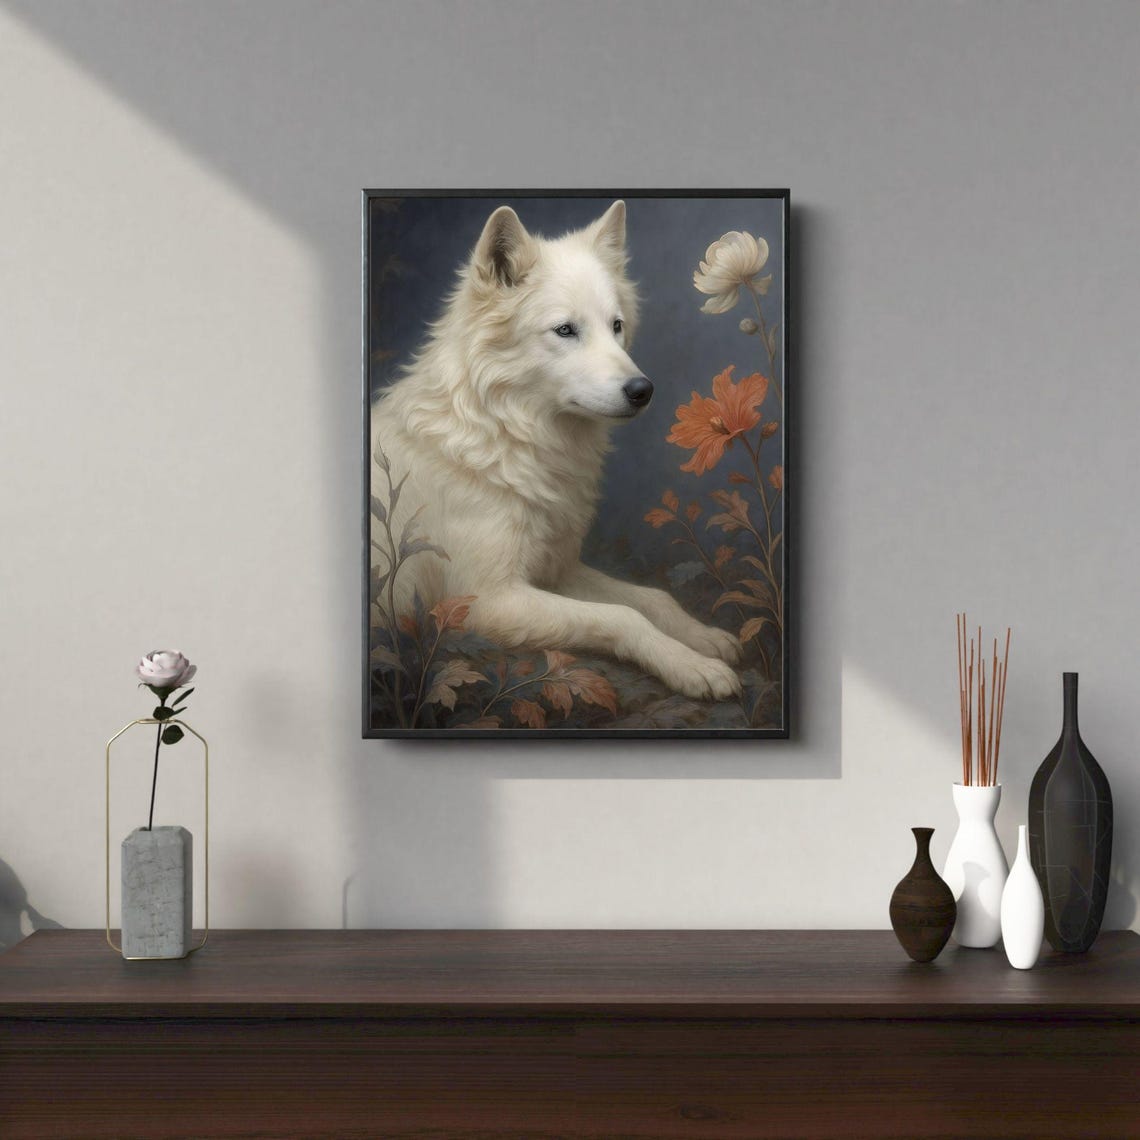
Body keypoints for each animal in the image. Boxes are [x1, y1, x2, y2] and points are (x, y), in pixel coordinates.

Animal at [371, 201, 741, 701]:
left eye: (616, 326)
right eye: (565, 330)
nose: (643, 390)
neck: (504, 439)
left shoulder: (557, 571)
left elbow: (654, 599)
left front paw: (704, 639)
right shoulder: (485, 601)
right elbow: (624, 617)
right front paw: (691, 666)